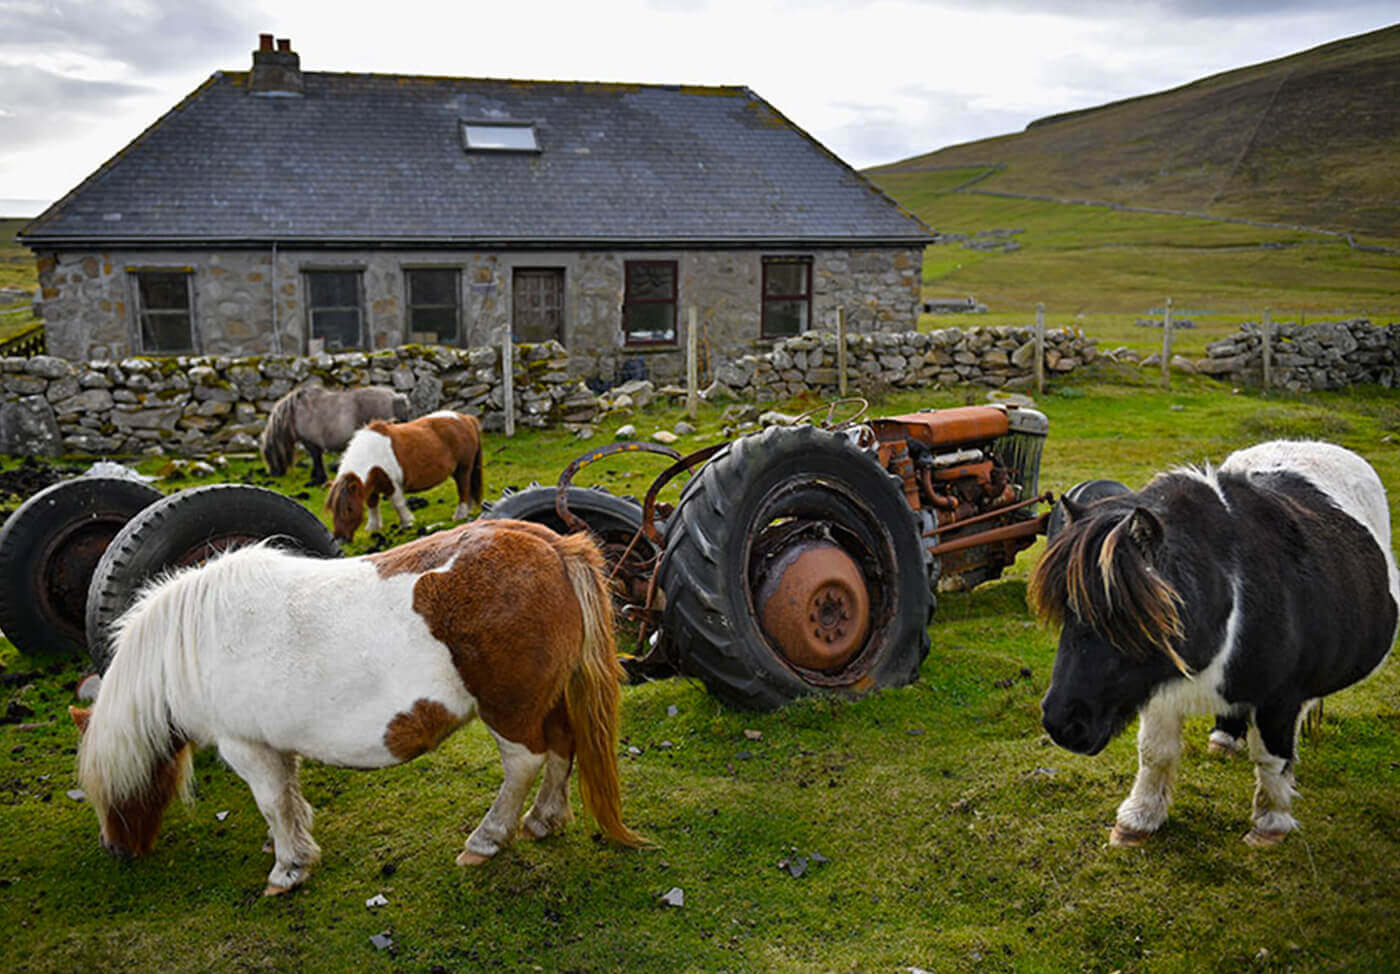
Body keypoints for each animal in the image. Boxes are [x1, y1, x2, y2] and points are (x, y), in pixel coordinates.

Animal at [71, 520, 644, 895]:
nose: (116, 850)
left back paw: (487, 840)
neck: (190, 642)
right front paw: (293, 845)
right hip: (545, 700)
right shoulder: (273, 744)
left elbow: (272, 802)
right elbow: (288, 796)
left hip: (509, 711)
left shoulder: (245, 746)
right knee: (562, 748)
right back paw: (544, 820)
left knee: (524, 763)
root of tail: (550, 543)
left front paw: (287, 870)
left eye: (110, 785)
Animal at [324, 408, 484, 542]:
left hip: (463, 469)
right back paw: (468, 510)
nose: (340, 539)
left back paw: (460, 515)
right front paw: (373, 527)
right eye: (332, 509)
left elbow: (398, 504)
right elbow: (372, 506)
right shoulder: (371, 488)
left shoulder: (392, 485)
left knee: (463, 489)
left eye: (349, 508)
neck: (372, 454)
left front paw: (407, 523)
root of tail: (466, 418)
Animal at [1030, 442, 1400, 845]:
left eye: (1125, 619)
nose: (1063, 725)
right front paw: (1137, 820)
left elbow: (1271, 758)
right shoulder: (1158, 686)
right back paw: (1224, 739)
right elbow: (1154, 752)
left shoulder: (1281, 698)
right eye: (1067, 609)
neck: (1232, 591)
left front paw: (1269, 824)